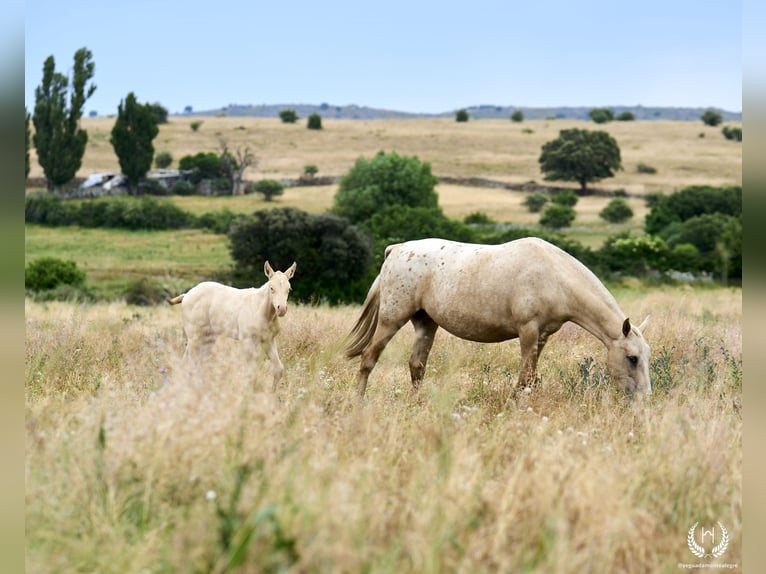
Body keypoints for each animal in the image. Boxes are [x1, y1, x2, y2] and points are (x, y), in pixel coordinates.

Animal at [168, 262, 296, 392]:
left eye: (289, 289)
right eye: (271, 288)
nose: (282, 309)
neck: (260, 310)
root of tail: (186, 295)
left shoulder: (269, 341)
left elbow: (278, 369)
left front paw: (272, 394)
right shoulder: (248, 341)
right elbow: (249, 372)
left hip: (207, 340)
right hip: (194, 338)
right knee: (187, 363)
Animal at [348, 238, 656, 400]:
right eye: (632, 358)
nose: (644, 398)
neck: (554, 276)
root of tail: (396, 249)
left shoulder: (543, 336)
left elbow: (531, 377)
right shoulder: (528, 331)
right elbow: (525, 377)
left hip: (426, 323)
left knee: (417, 365)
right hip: (391, 320)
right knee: (368, 358)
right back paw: (358, 403)